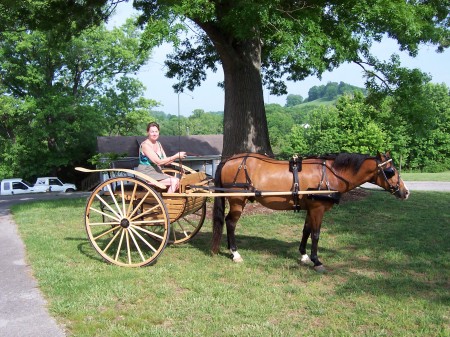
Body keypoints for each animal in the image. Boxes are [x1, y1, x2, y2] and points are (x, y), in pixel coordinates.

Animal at [210, 150, 408, 270]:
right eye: (390, 171)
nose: (405, 192)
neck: (329, 175)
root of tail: (228, 160)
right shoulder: (318, 208)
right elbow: (316, 234)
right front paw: (316, 260)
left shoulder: (310, 208)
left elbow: (306, 230)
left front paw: (304, 255)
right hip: (237, 201)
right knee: (231, 223)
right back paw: (235, 253)